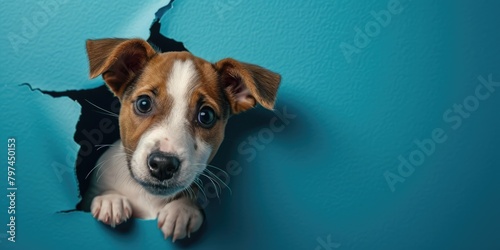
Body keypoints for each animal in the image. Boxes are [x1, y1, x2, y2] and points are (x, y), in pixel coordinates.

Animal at [80, 38, 280, 241]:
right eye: (143, 103)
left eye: (206, 116)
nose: (163, 164)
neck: (148, 197)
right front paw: (110, 199)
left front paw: (182, 210)